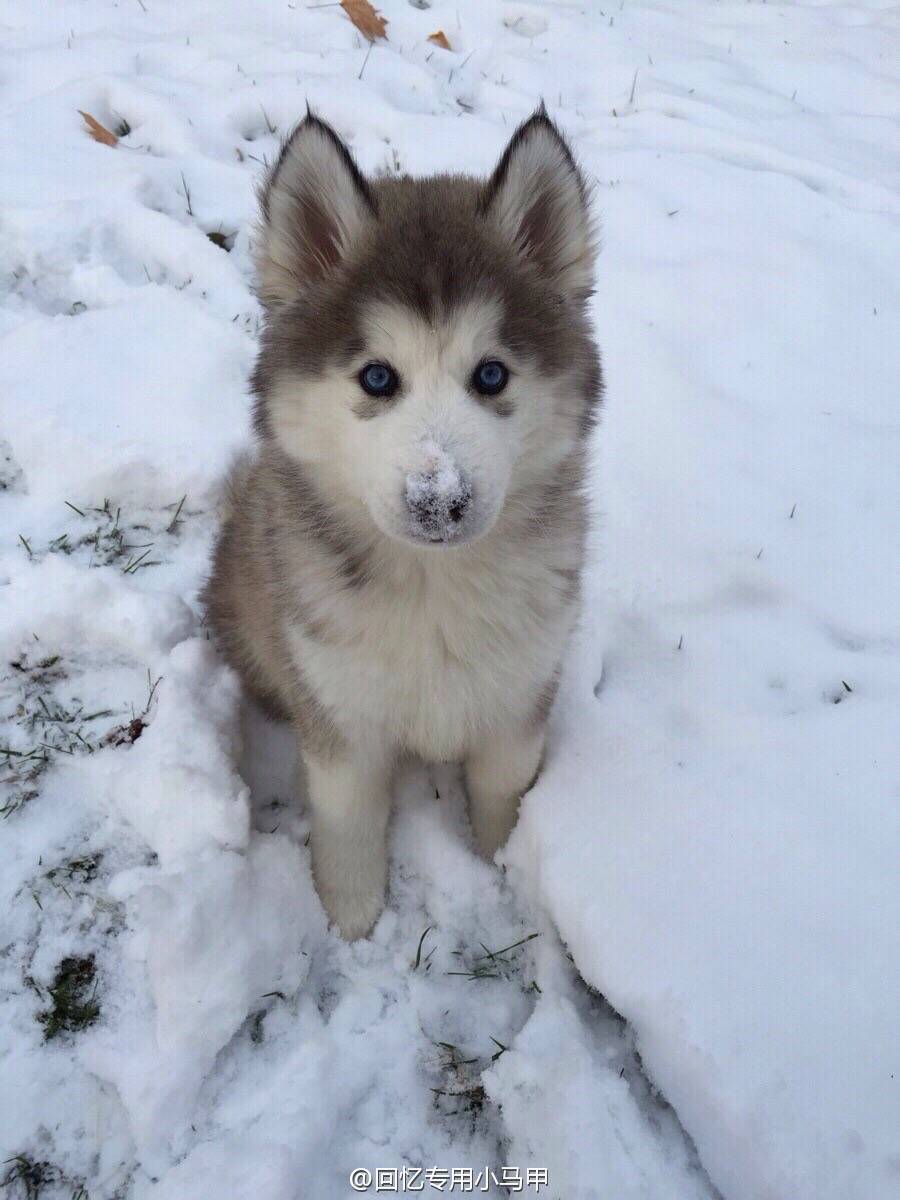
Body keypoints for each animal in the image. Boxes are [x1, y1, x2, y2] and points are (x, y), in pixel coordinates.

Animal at [207, 108, 602, 936]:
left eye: (492, 374)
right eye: (377, 377)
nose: (439, 501)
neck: (433, 588)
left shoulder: (518, 697)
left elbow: (503, 795)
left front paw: (503, 869)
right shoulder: (340, 715)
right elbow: (350, 823)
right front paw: (351, 918)